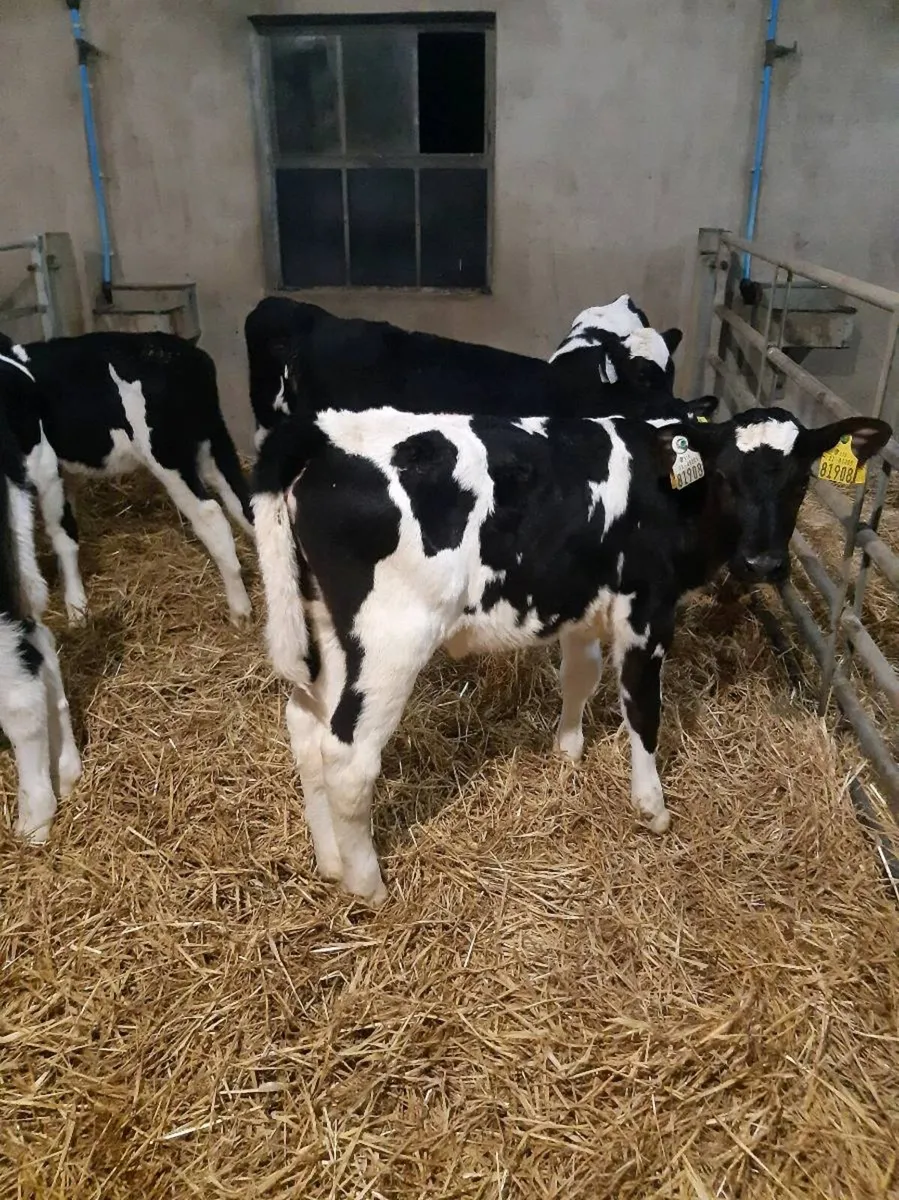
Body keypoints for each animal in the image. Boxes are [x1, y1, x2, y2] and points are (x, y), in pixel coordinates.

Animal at [7, 332, 254, 626]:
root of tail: (186, 352)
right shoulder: (66, 472)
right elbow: (67, 528)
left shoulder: (47, 469)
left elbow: (61, 535)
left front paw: (76, 610)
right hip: (214, 440)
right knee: (243, 500)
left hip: (166, 455)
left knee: (211, 515)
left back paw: (240, 609)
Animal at [250, 402, 891, 907]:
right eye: (728, 477)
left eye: (800, 481)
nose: (762, 564)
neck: (671, 493)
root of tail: (323, 430)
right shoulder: (646, 609)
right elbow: (642, 708)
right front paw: (651, 805)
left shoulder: (582, 605)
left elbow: (579, 676)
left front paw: (568, 749)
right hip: (391, 639)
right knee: (347, 757)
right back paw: (368, 886)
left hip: (327, 632)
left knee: (305, 727)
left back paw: (330, 860)